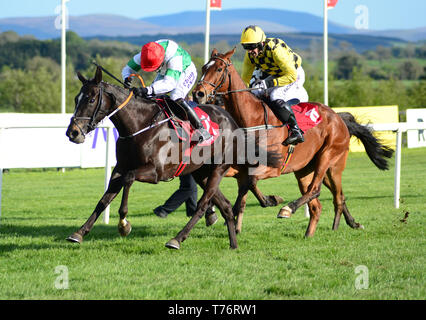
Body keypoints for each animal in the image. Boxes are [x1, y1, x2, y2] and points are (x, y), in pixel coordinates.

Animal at [65, 65, 280, 250]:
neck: (139, 125)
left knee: (203, 204)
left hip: (218, 168)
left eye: (91, 99)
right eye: (76, 98)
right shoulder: (120, 168)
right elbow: (104, 199)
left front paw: (124, 224)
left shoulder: (156, 172)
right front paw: (79, 233)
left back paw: (177, 239)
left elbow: (129, 179)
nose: (72, 132)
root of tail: (233, 122)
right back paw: (233, 244)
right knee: (226, 206)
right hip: (201, 172)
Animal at [193, 48, 392, 238]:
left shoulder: (272, 167)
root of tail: (338, 118)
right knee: (325, 201)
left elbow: (251, 183)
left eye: (219, 68)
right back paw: (321, 230)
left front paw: (270, 201)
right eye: (203, 67)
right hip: (307, 170)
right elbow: (242, 186)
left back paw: (289, 209)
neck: (252, 119)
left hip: (329, 159)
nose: (198, 94)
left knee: (317, 190)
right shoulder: (238, 166)